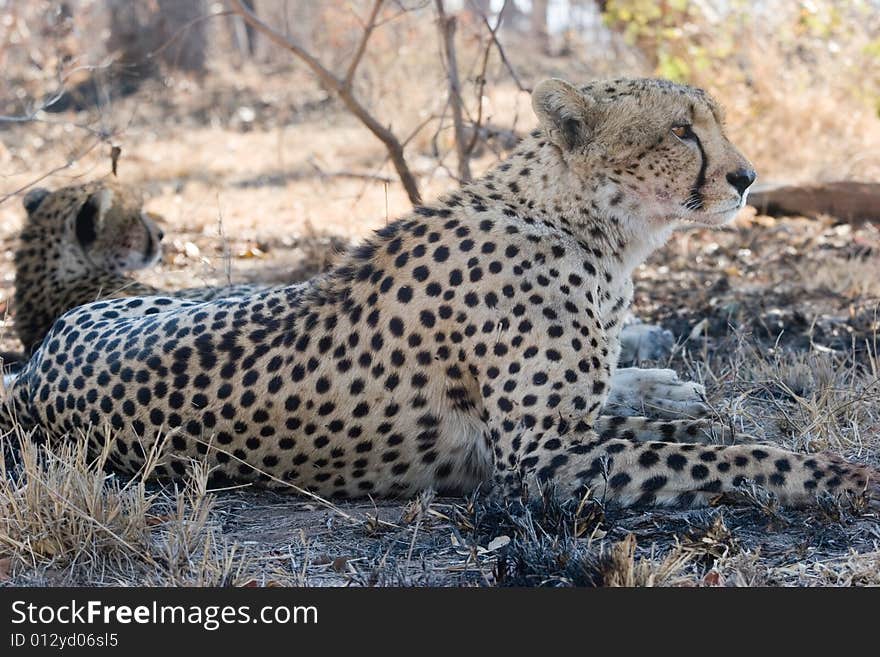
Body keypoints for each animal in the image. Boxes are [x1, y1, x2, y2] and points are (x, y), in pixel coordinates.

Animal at [3, 77, 876, 508]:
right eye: (681, 132)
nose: (747, 177)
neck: (587, 225)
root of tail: (34, 365)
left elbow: (684, 427)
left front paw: (667, 393)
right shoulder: (541, 459)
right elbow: (733, 451)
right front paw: (841, 478)